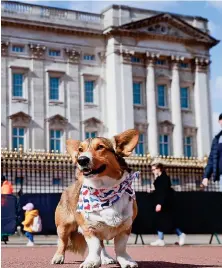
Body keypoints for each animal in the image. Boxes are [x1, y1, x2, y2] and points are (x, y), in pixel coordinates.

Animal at [51, 129, 140, 266]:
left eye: (100, 147)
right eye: (80, 150)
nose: (81, 160)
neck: (105, 191)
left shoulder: (125, 228)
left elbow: (120, 248)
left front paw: (125, 261)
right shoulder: (89, 228)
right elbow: (95, 247)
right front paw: (92, 261)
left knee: (102, 245)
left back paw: (106, 258)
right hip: (63, 226)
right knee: (62, 242)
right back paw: (58, 257)